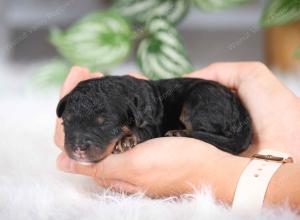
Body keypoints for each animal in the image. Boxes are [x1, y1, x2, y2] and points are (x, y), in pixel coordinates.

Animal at [56, 75, 251, 163]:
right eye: (67, 122)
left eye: (105, 123)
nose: (78, 148)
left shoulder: (151, 124)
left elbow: (141, 131)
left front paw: (125, 140)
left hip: (201, 99)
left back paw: (178, 133)